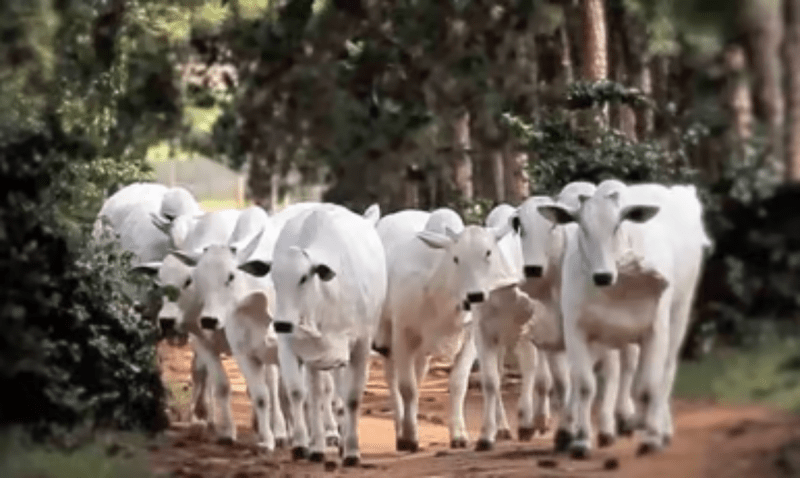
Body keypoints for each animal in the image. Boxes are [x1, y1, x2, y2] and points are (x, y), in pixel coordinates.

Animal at [265, 203, 387, 466]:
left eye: (303, 278)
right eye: (275, 278)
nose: (281, 324)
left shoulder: (360, 345)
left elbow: (351, 398)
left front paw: (351, 451)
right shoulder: (295, 347)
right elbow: (301, 394)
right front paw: (305, 445)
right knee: (317, 395)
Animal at [373, 207, 518, 452]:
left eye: (488, 253)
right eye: (456, 258)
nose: (475, 296)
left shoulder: (470, 338)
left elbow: (458, 384)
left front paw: (459, 435)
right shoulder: (403, 334)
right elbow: (406, 387)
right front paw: (409, 438)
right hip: (387, 341)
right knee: (393, 381)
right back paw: (400, 431)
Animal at [536, 179, 711, 457]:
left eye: (617, 224)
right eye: (581, 226)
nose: (602, 276)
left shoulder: (656, 330)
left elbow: (649, 386)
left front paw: (651, 438)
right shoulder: (576, 330)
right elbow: (584, 385)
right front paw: (581, 441)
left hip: (679, 313)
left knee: (665, 373)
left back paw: (659, 428)